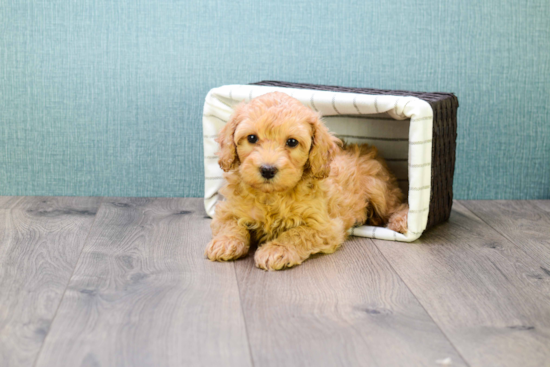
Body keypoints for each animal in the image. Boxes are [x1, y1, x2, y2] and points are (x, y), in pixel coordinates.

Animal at [207, 92, 410, 270]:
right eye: (251, 138)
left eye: (292, 142)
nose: (267, 169)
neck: (273, 195)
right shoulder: (228, 209)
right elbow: (230, 224)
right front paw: (225, 242)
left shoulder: (325, 226)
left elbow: (296, 233)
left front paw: (275, 250)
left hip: (378, 190)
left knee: (397, 204)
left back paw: (402, 221)